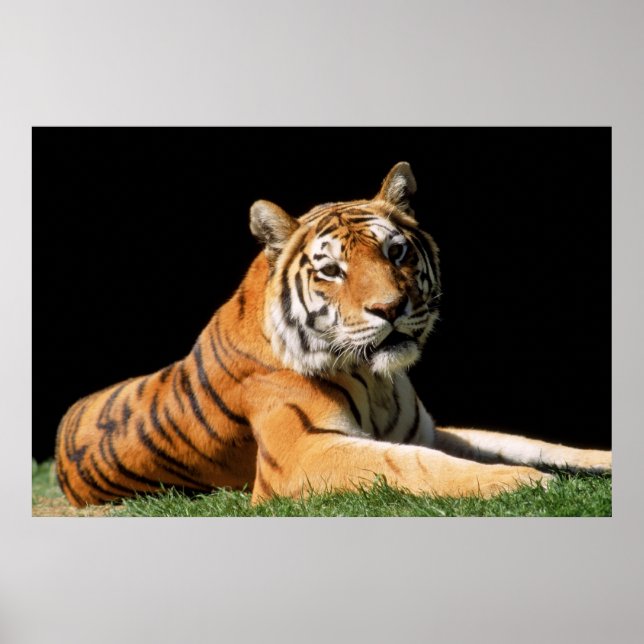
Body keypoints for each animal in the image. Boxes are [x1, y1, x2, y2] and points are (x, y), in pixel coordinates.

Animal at [55, 162, 611, 508]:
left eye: (395, 252)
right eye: (331, 271)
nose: (390, 308)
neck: (379, 380)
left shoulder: (428, 431)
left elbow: (525, 442)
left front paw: (595, 462)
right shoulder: (303, 453)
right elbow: (416, 467)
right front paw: (525, 484)